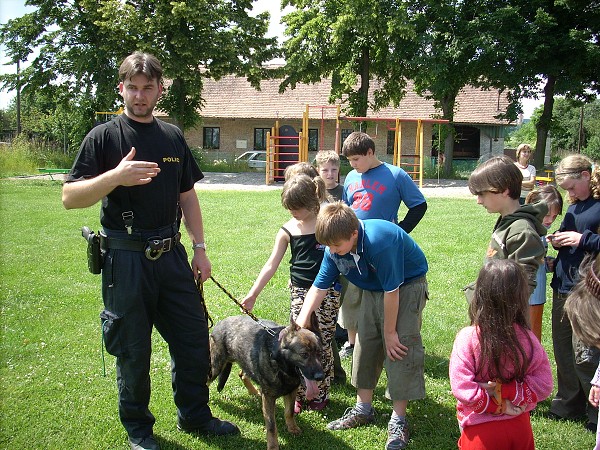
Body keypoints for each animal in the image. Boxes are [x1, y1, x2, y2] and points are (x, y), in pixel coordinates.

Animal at [210, 312, 324, 450]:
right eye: (304, 354)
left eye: (319, 353)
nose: (320, 376)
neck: (280, 364)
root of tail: (220, 322)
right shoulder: (269, 398)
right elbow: (271, 425)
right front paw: (273, 446)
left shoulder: (291, 391)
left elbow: (289, 412)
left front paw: (292, 428)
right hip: (216, 367)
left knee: (242, 374)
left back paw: (254, 391)